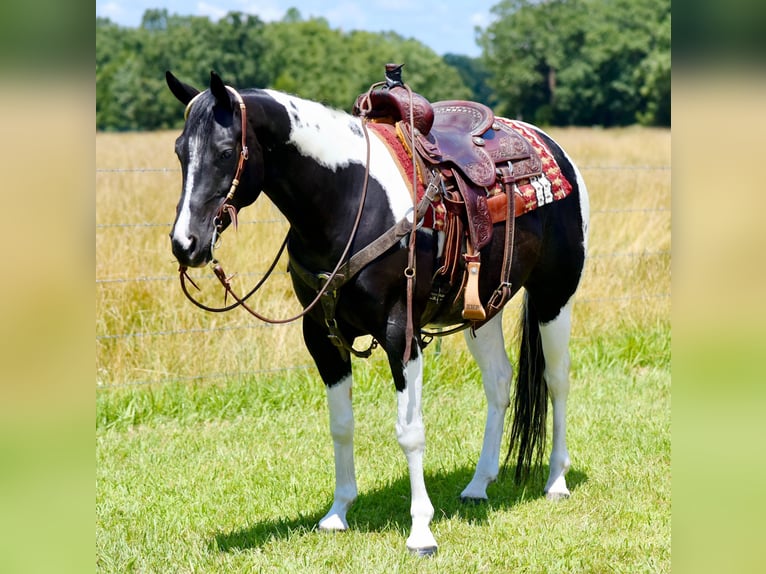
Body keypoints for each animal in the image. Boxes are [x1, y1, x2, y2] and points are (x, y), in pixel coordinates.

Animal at [165, 70, 589, 556]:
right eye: (180, 151)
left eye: (224, 151)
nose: (185, 244)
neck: (346, 199)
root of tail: (552, 148)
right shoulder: (321, 336)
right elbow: (341, 425)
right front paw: (337, 513)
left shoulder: (399, 334)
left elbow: (410, 431)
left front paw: (421, 531)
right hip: (484, 311)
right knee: (499, 383)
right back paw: (479, 484)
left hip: (555, 296)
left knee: (556, 380)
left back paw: (556, 480)